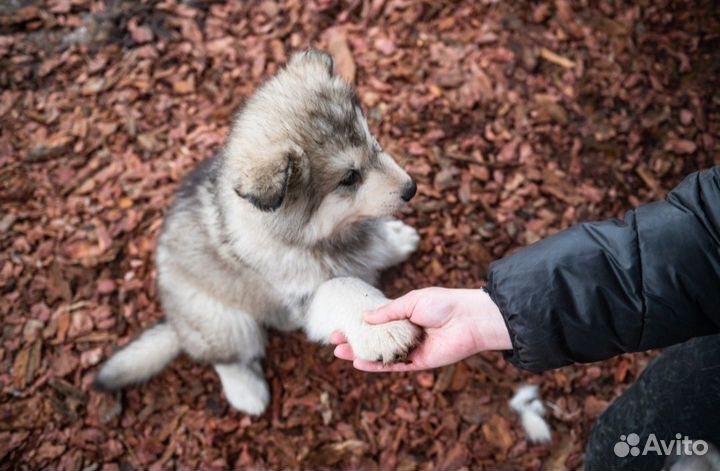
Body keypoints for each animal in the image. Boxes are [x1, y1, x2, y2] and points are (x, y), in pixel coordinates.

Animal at [95, 49, 422, 414]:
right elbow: (342, 288)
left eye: (373, 143)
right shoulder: (304, 296)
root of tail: (177, 325)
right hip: (223, 320)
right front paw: (384, 330)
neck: (314, 236)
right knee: (225, 358)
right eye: (349, 178)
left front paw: (395, 241)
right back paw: (247, 391)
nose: (411, 188)